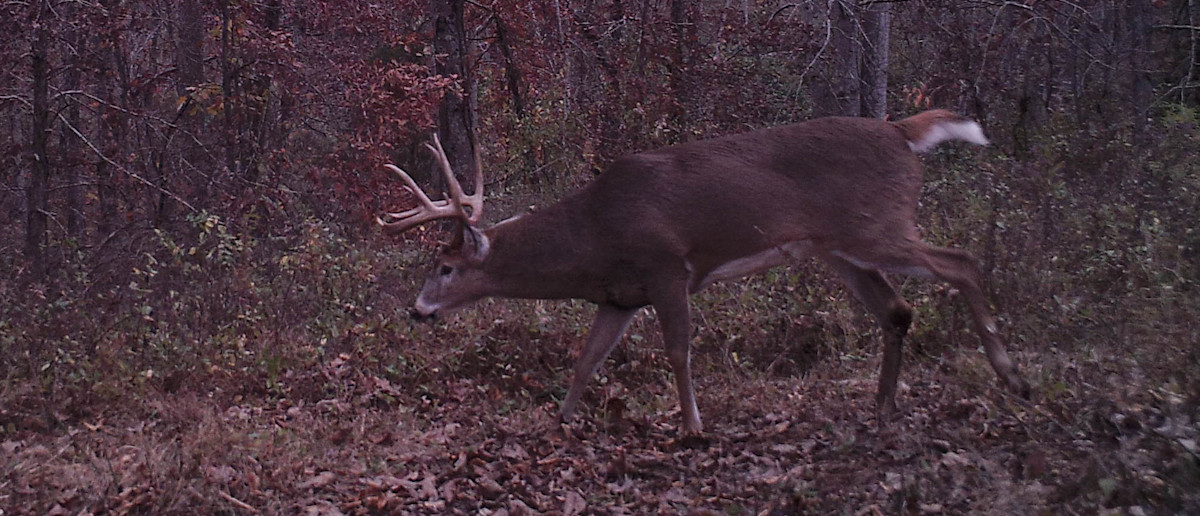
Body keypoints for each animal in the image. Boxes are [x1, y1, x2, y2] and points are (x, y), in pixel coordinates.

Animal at [378, 110, 1032, 436]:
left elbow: (678, 352)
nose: (416, 310)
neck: (595, 235)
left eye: (444, 266)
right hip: (841, 250)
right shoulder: (619, 296)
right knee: (898, 310)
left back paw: (1010, 375)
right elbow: (587, 359)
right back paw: (882, 409)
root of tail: (901, 132)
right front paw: (559, 421)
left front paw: (693, 427)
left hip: (878, 227)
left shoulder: (669, 268)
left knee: (962, 263)